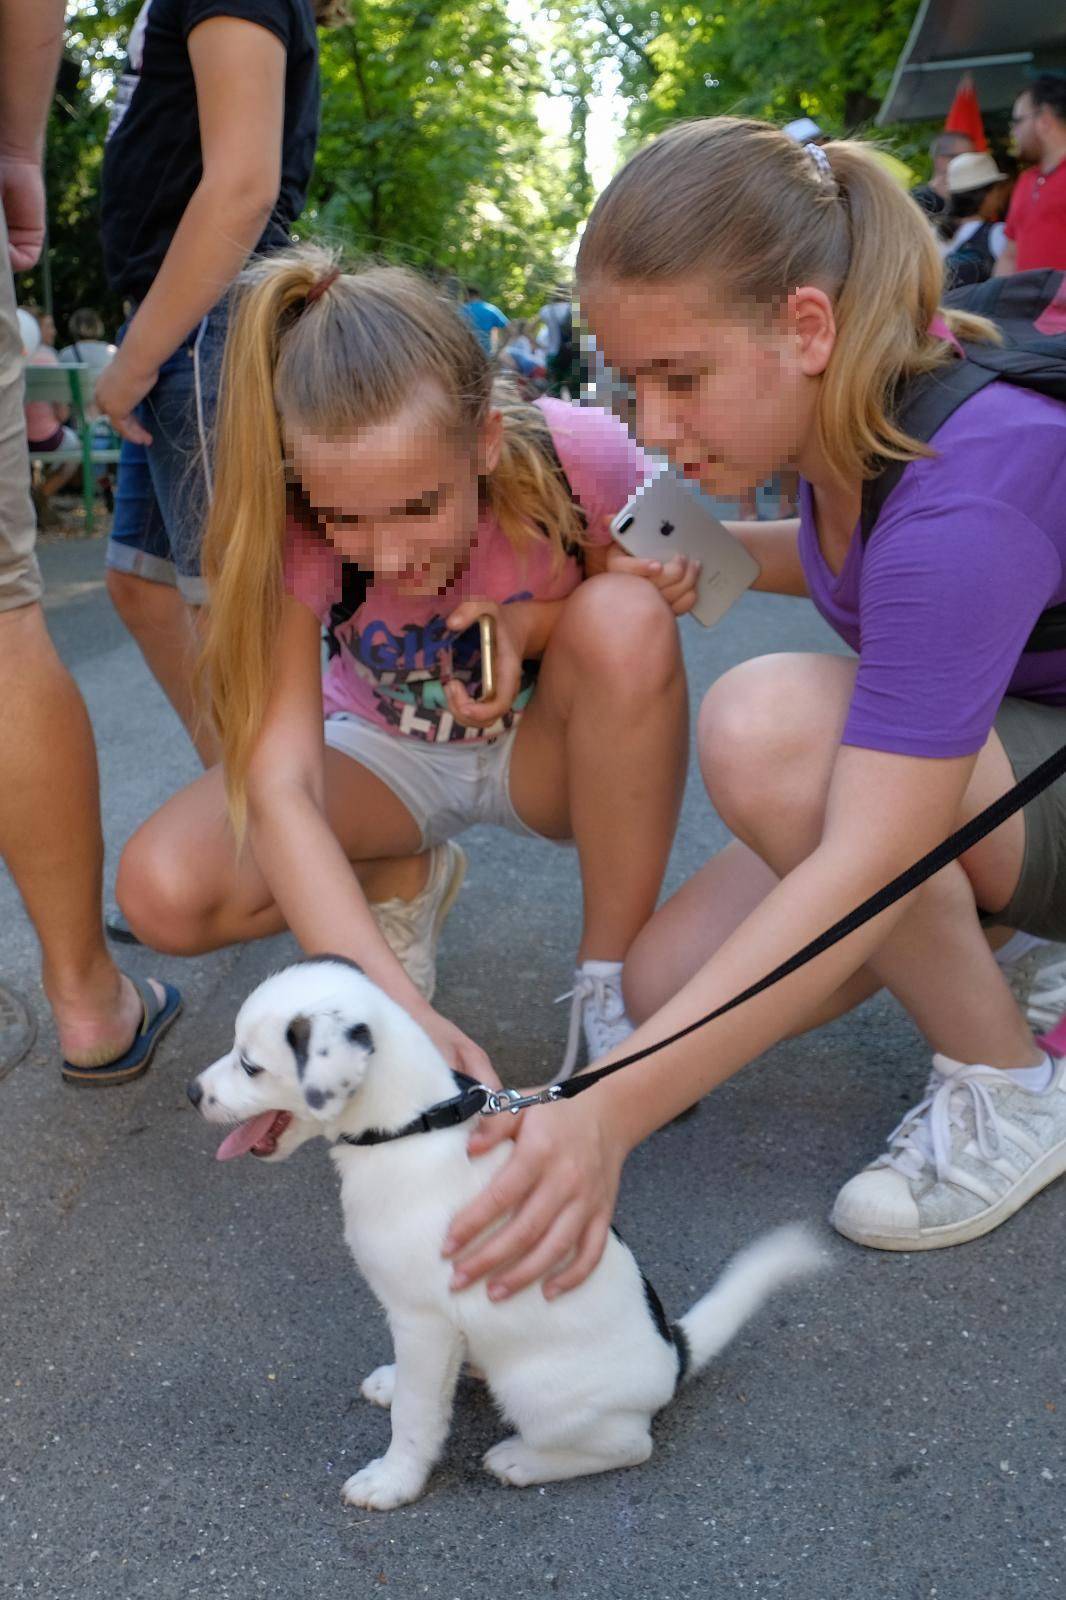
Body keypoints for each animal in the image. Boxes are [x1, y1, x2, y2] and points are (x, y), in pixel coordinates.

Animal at [188, 960, 819, 1510]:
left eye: (250, 1065)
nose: (192, 1093)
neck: (410, 1128)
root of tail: (672, 1354)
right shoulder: (422, 1325)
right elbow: (418, 1391)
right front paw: (398, 1392)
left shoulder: (424, 1320)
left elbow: (416, 1416)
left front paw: (394, 1480)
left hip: (537, 1389)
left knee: (630, 1444)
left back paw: (524, 1459)